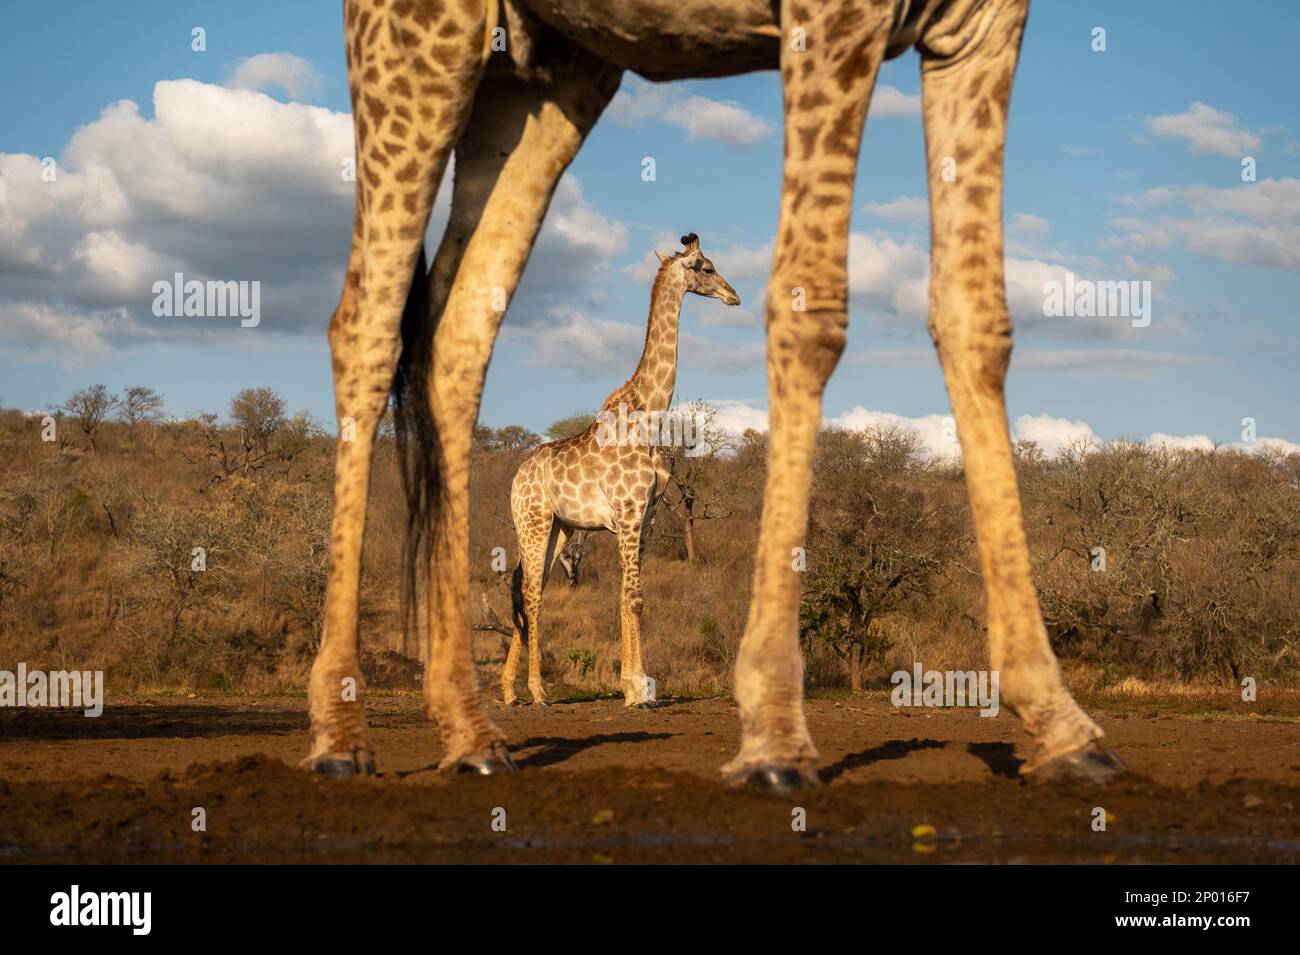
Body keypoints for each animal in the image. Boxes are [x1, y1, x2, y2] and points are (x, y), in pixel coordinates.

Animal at [499, 233, 738, 706]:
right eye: (706, 267)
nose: (733, 296)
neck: (649, 420)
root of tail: (517, 478)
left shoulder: (644, 518)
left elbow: (627, 596)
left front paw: (635, 684)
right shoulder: (627, 515)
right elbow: (634, 598)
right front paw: (638, 691)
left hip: (559, 529)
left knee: (529, 587)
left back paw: (509, 691)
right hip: (533, 522)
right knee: (531, 593)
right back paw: (537, 690)